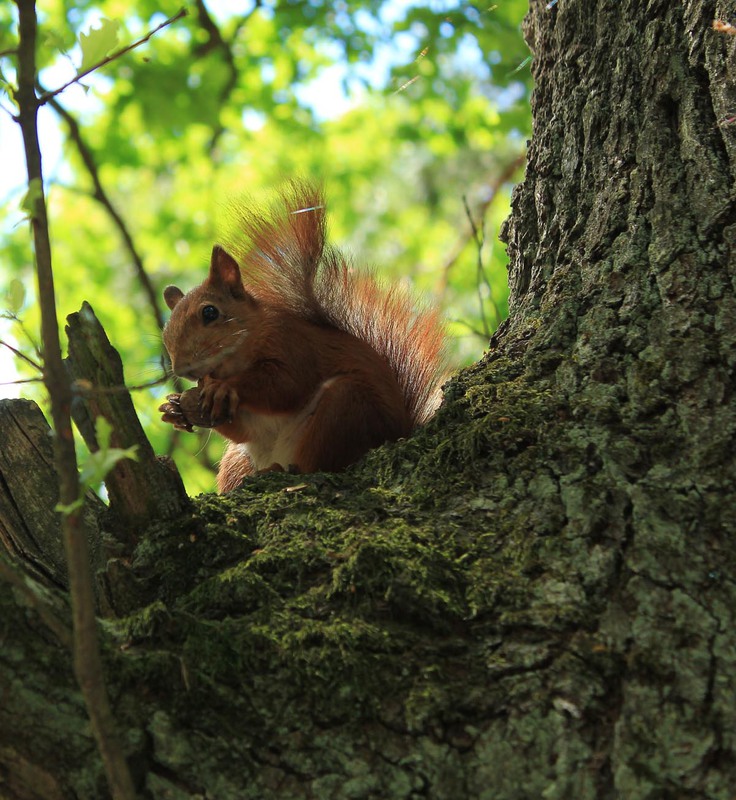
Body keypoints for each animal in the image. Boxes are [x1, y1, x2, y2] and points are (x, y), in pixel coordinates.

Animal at [160, 184, 448, 490]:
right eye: (166, 333)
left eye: (210, 312)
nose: (182, 369)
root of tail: (400, 430)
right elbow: (241, 430)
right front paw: (176, 408)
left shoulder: (294, 344)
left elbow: (287, 384)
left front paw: (224, 388)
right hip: (239, 459)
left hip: (345, 408)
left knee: (318, 463)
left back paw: (284, 471)